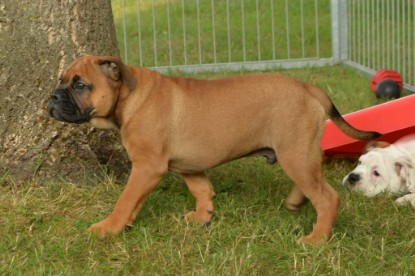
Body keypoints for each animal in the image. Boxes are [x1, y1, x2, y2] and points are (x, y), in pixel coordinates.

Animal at [48, 54, 380, 244]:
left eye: (80, 85)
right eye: (62, 81)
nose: (52, 96)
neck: (128, 97)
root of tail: (308, 87)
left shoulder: (146, 167)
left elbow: (126, 200)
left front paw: (108, 228)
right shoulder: (188, 165)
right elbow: (201, 190)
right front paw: (202, 217)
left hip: (294, 153)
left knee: (327, 197)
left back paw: (317, 238)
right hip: (300, 153)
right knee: (315, 176)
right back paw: (295, 202)